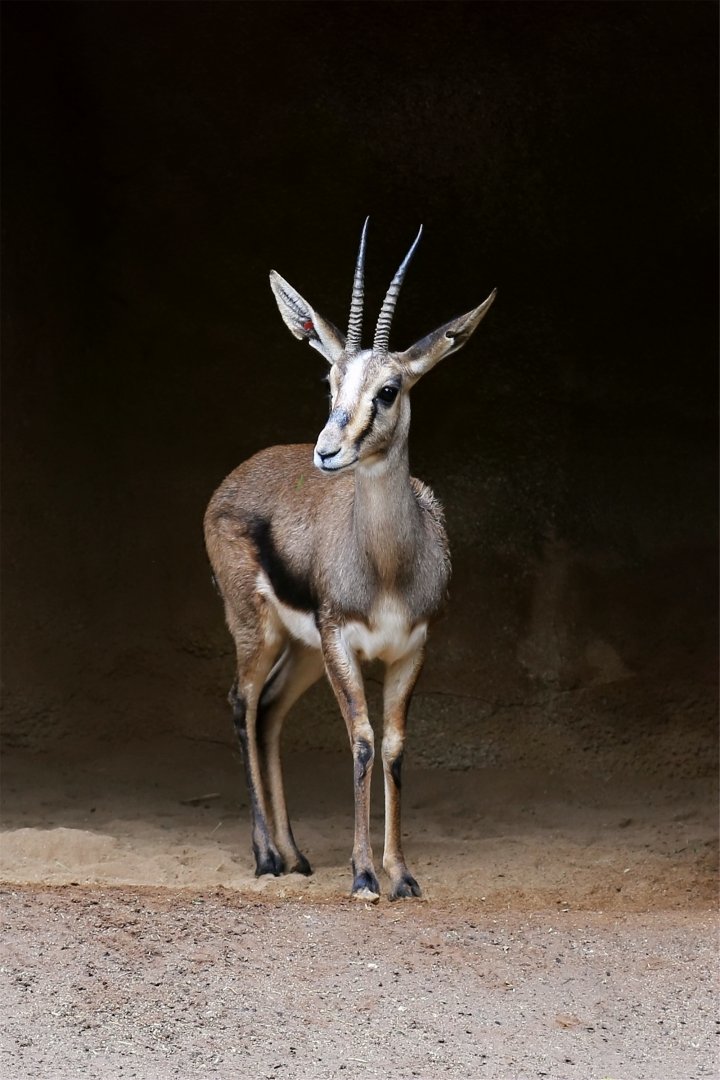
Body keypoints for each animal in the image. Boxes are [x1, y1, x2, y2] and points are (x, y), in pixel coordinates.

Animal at [204, 221, 495, 900]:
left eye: (388, 390)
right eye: (330, 382)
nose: (328, 451)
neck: (388, 567)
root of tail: (233, 480)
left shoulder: (410, 649)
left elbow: (393, 748)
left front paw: (401, 874)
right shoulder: (342, 639)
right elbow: (361, 741)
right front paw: (364, 875)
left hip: (304, 650)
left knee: (270, 711)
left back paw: (295, 854)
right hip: (259, 632)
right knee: (241, 702)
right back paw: (266, 857)